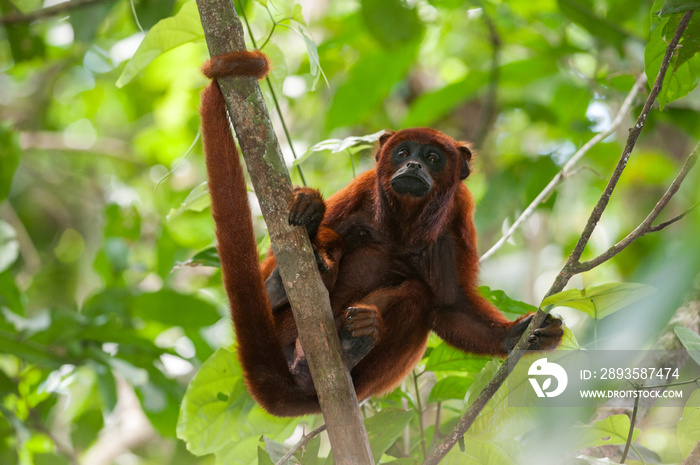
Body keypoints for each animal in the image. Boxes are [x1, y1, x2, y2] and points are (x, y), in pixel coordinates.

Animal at [198, 49, 564, 416]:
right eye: (403, 153)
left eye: (433, 158)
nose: (414, 165)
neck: (403, 224)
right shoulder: (362, 187)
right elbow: (284, 249)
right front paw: (311, 212)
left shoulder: (457, 219)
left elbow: (450, 304)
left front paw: (514, 335)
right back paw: (285, 282)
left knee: (418, 295)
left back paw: (350, 344)